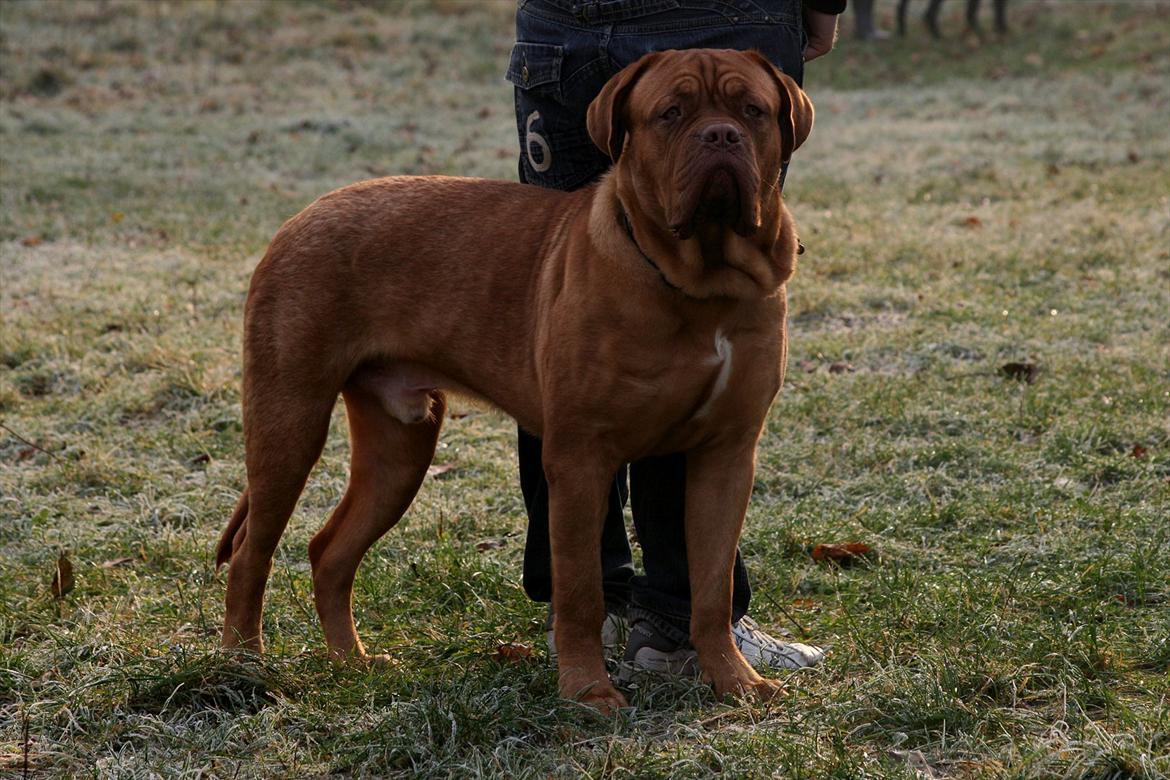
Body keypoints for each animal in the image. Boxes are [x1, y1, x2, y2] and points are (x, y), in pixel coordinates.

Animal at [212, 48, 814, 715]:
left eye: (752, 110)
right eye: (671, 113)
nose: (720, 136)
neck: (701, 285)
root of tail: (299, 216)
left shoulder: (726, 455)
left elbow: (710, 587)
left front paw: (735, 682)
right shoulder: (580, 459)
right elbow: (579, 591)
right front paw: (588, 691)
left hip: (400, 447)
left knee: (330, 551)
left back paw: (353, 663)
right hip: (289, 422)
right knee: (252, 551)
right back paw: (242, 666)